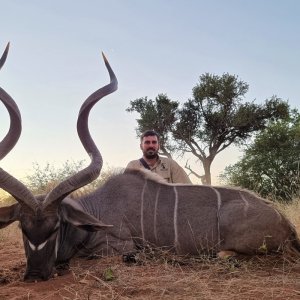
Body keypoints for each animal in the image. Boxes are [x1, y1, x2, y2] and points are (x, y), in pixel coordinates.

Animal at [0, 44, 300, 282]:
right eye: (22, 227)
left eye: (55, 227)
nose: (35, 275)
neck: (95, 210)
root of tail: (287, 225)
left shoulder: (117, 247)